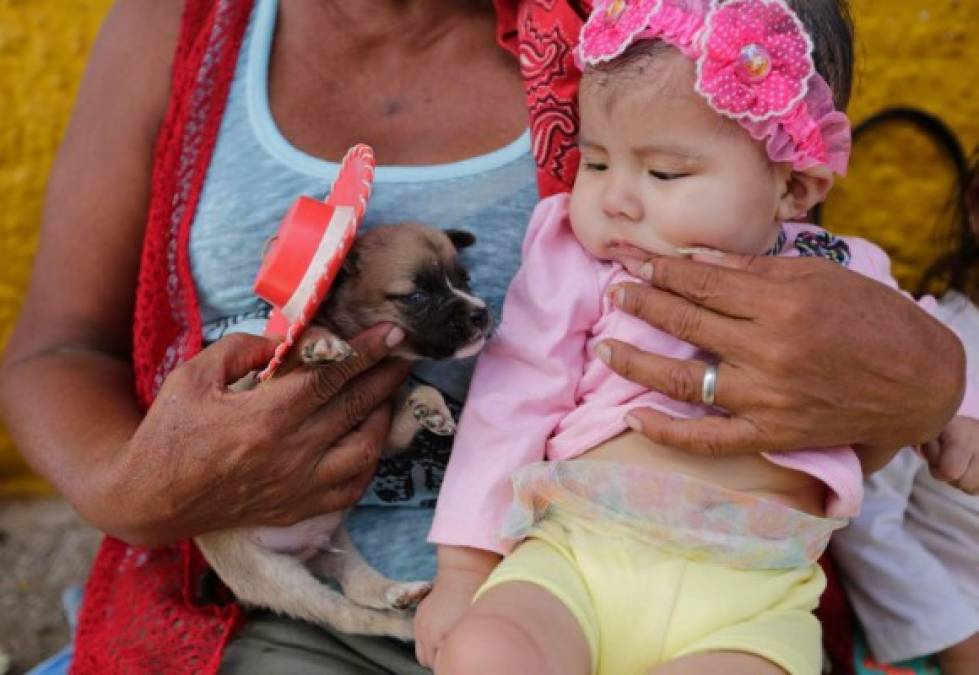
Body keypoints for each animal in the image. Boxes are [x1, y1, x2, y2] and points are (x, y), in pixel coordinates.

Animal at [195, 224, 490, 640]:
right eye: (417, 296)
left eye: (465, 280)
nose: (481, 313)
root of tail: (306, 550)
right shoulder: (271, 381)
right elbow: (301, 342)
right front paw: (320, 342)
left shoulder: (383, 429)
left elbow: (411, 404)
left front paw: (431, 408)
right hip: (277, 576)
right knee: (348, 615)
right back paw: (402, 626)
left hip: (334, 545)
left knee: (359, 587)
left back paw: (399, 593)